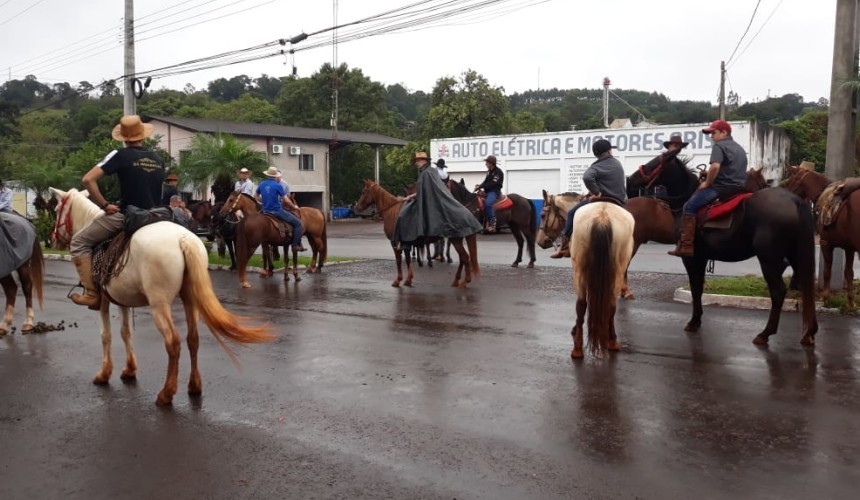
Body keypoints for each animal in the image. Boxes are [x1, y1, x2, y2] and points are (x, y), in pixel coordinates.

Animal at [47, 188, 276, 406]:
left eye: (57, 209)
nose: (53, 239)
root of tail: (183, 239)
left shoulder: (103, 300)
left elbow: (106, 335)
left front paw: (104, 374)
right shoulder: (121, 299)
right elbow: (125, 332)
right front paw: (129, 369)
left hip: (160, 304)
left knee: (173, 342)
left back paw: (166, 394)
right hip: (189, 299)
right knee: (193, 338)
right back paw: (194, 386)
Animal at [352, 180, 480, 290]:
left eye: (363, 192)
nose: (356, 208)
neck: (391, 211)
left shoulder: (395, 243)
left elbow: (399, 260)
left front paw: (399, 280)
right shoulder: (406, 243)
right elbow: (407, 259)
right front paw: (408, 279)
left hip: (456, 240)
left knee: (465, 257)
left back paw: (464, 282)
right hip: (457, 240)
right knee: (463, 258)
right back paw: (456, 280)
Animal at [568, 202, 636, 360]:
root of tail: (602, 218)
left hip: (579, 270)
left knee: (581, 304)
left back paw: (577, 348)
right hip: (616, 272)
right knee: (611, 304)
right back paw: (612, 341)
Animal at [784, 166, 856, 306]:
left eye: (790, 182)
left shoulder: (825, 243)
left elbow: (827, 271)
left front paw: (825, 297)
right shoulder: (849, 248)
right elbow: (848, 272)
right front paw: (850, 302)